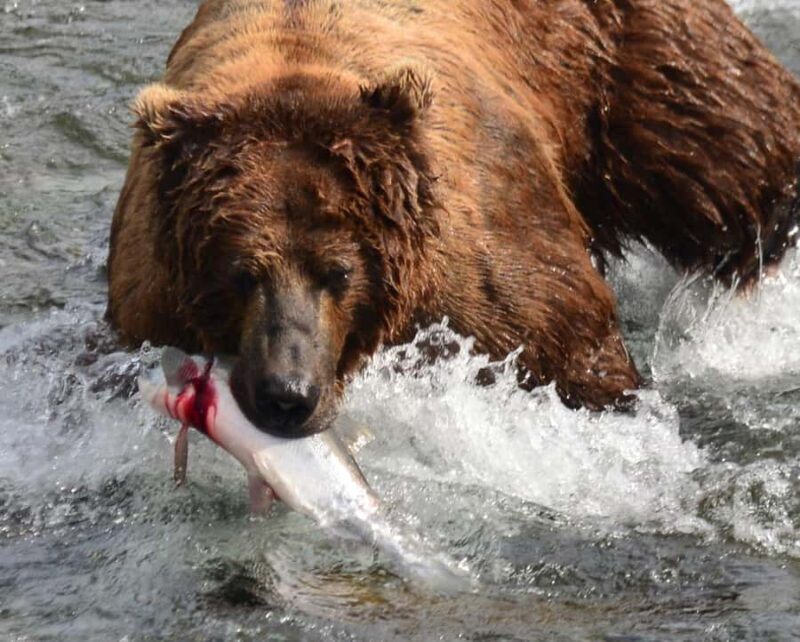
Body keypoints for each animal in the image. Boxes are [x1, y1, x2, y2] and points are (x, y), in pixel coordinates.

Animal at [108, 0, 800, 437]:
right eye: (240, 273)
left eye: (338, 272)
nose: (287, 394)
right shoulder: (152, 302)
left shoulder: (488, 268)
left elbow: (572, 352)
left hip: (627, 64)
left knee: (727, 142)